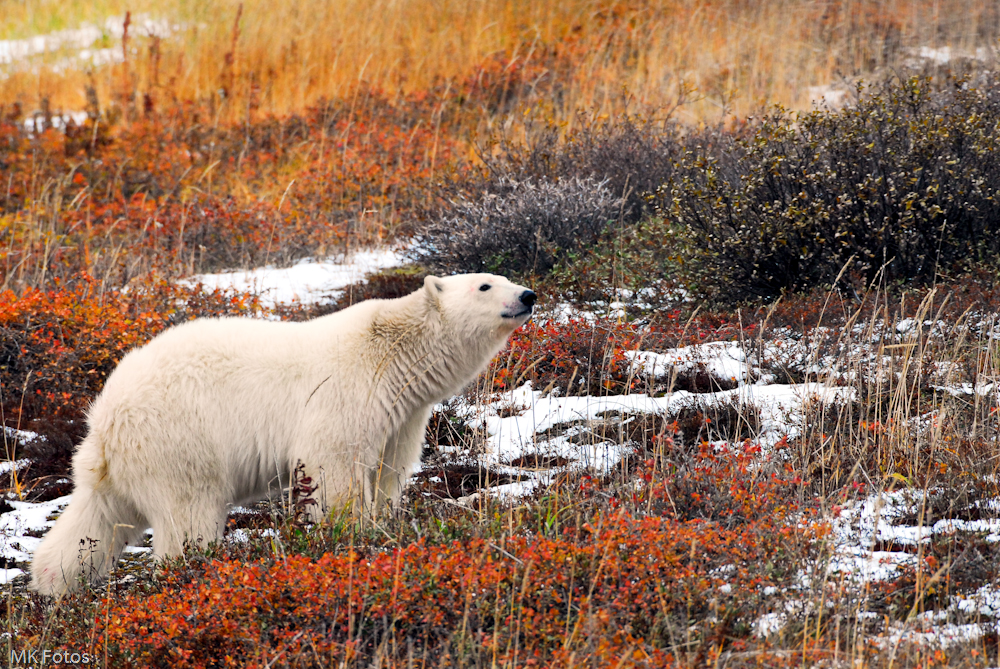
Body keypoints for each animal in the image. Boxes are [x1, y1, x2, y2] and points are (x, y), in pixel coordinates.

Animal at [31, 272, 536, 596]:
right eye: (485, 285)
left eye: (502, 276)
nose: (529, 295)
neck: (392, 357)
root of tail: (105, 419)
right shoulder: (344, 395)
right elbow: (334, 468)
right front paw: (353, 534)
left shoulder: (402, 416)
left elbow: (388, 472)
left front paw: (385, 523)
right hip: (179, 443)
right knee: (188, 517)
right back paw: (190, 572)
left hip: (129, 465)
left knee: (94, 521)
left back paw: (52, 584)